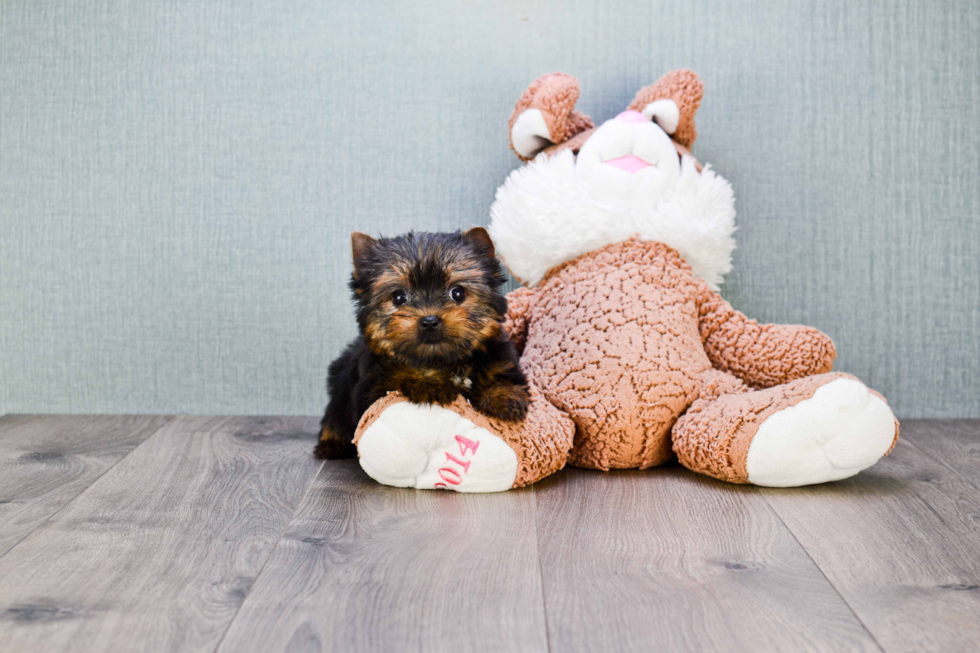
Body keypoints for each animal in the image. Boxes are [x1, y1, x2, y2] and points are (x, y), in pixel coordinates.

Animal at [314, 228, 528, 458]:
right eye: (399, 297)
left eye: (457, 293)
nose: (430, 321)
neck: (444, 361)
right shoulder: (372, 387)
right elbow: (397, 374)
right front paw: (429, 382)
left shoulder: (501, 357)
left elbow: (501, 375)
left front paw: (504, 396)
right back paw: (332, 443)